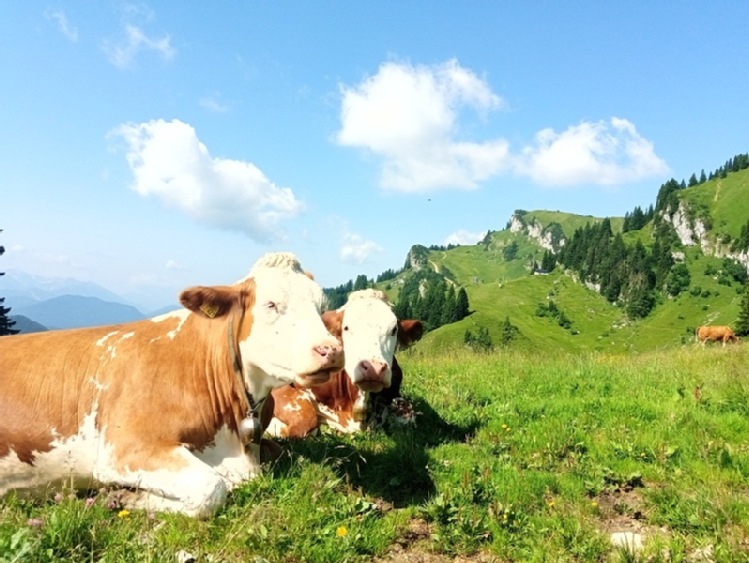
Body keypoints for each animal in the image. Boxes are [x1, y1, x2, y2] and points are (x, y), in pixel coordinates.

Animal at [0, 253, 344, 516]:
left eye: (320, 305)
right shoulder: (125, 448)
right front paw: (123, 496)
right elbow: (211, 488)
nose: (331, 350)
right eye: (271, 304)